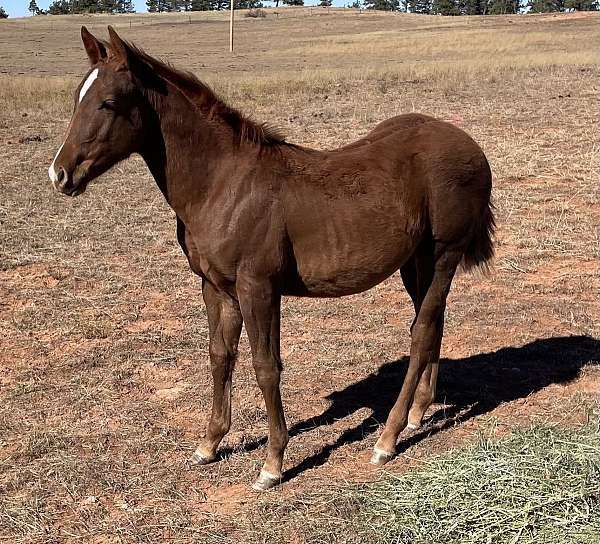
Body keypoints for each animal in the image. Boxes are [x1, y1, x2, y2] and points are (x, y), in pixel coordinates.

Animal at [49, 27, 494, 490]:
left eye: (108, 102)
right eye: (77, 98)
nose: (60, 174)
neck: (223, 184)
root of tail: (472, 147)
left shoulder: (258, 287)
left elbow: (266, 366)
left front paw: (273, 463)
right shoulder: (216, 287)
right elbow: (220, 357)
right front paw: (209, 444)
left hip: (444, 254)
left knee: (421, 332)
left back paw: (387, 439)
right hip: (415, 263)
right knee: (434, 322)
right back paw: (417, 414)